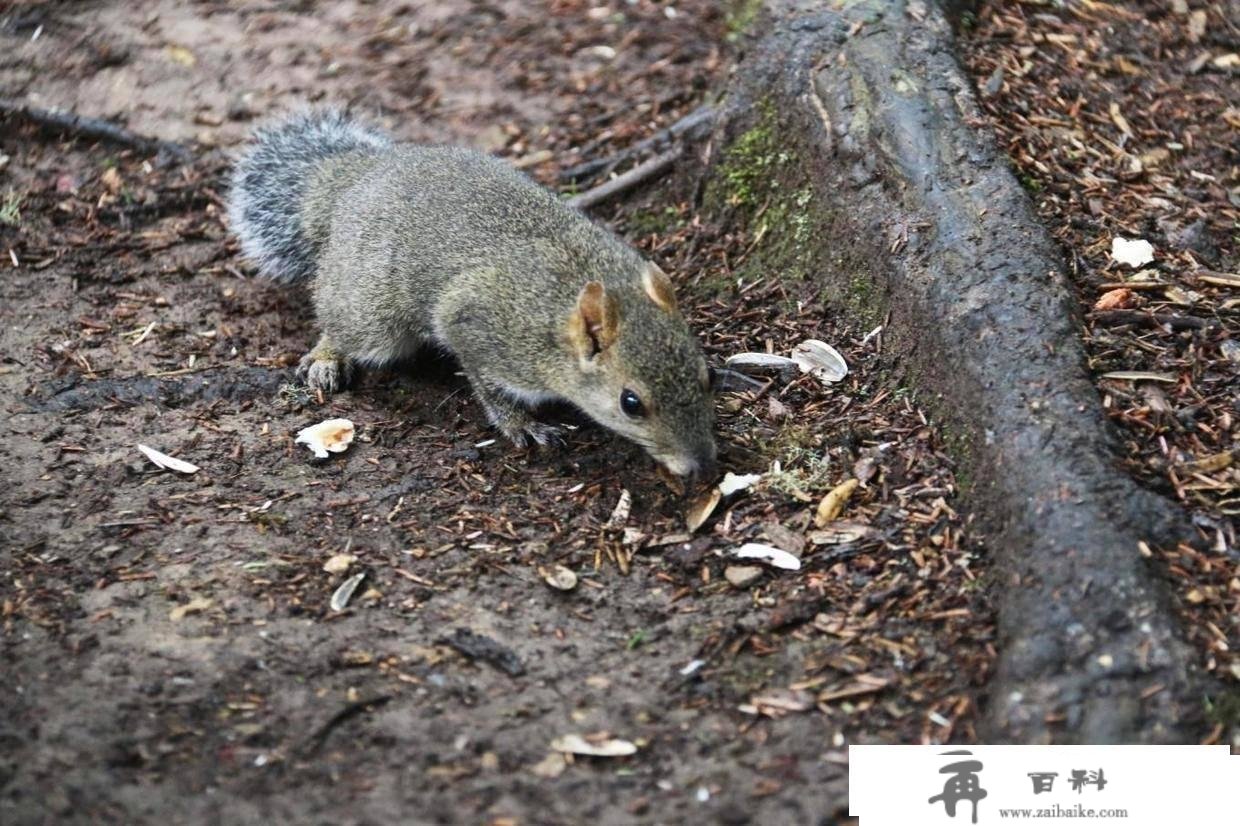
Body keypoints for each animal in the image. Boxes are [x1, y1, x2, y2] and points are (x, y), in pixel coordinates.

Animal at [228, 112, 724, 478]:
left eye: (707, 375)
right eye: (630, 403)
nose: (702, 466)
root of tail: (353, 177)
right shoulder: (478, 326)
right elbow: (489, 386)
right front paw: (523, 426)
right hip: (374, 311)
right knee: (341, 321)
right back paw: (327, 356)